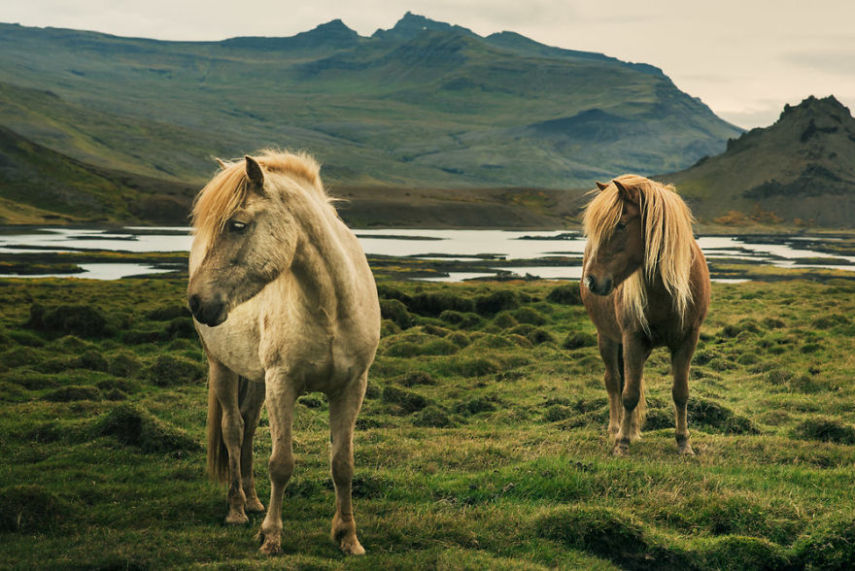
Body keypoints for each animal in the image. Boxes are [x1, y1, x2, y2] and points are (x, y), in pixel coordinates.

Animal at [189, 150, 380, 556]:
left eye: (238, 225)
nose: (197, 301)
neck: (330, 308)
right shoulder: (283, 383)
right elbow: (281, 463)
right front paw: (271, 538)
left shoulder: (352, 387)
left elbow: (343, 464)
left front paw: (348, 537)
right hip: (222, 366)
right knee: (233, 429)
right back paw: (237, 510)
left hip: (257, 379)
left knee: (247, 426)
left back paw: (252, 500)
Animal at [580, 174, 708, 456]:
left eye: (620, 225)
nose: (591, 281)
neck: (666, 291)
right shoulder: (632, 339)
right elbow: (629, 394)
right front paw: (622, 443)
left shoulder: (687, 340)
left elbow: (680, 393)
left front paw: (684, 443)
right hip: (607, 338)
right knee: (614, 381)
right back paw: (616, 428)